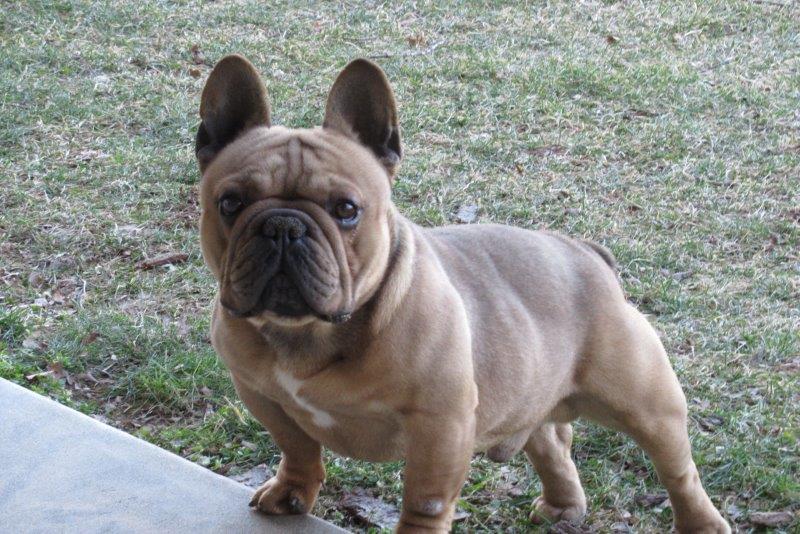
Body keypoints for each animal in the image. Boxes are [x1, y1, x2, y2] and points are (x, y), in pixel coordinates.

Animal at [195, 55, 730, 533]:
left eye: (346, 209)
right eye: (231, 203)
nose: (283, 227)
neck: (308, 334)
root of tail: (586, 252)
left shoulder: (441, 425)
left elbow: (425, 501)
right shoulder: (262, 395)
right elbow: (298, 447)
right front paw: (292, 493)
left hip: (647, 405)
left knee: (678, 471)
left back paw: (701, 524)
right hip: (529, 393)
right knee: (551, 441)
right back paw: (562, 506)